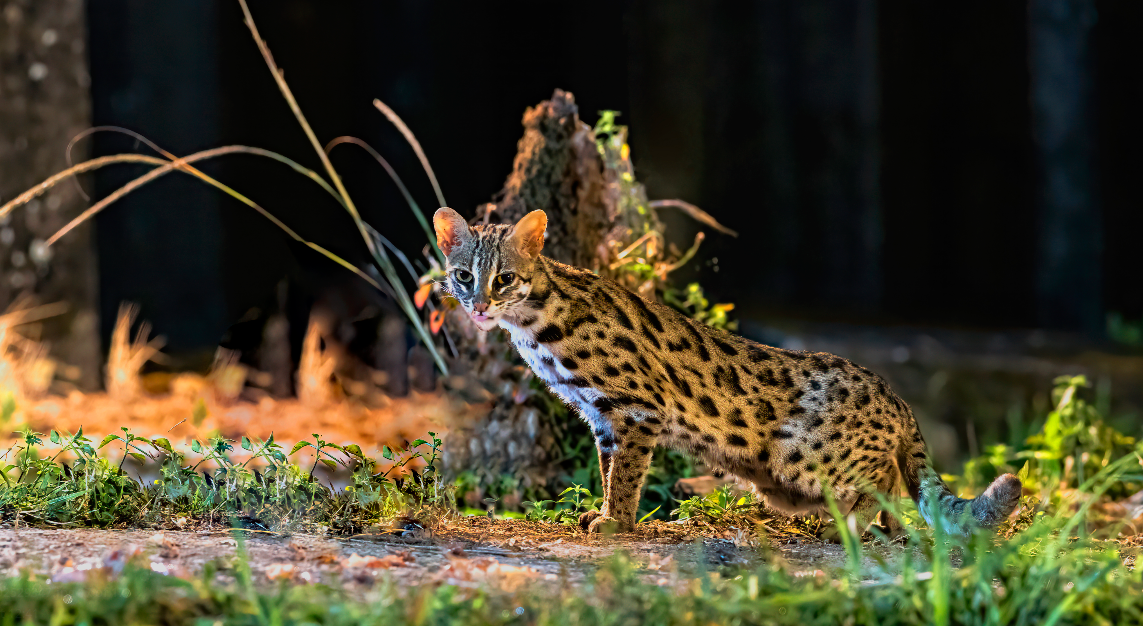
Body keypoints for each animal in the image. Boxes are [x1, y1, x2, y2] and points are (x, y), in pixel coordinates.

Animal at [432, 207, 1024, 534]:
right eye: (463, 275)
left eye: (504, 279)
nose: (479, 306)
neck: (536, 323)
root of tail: (893, 393)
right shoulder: (601, 417)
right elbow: (608, 470)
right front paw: (603, 512)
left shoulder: (636, 409)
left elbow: (626, 475)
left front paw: (616, 522)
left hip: (801, 457)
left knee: (883, 479)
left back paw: (853, 525)